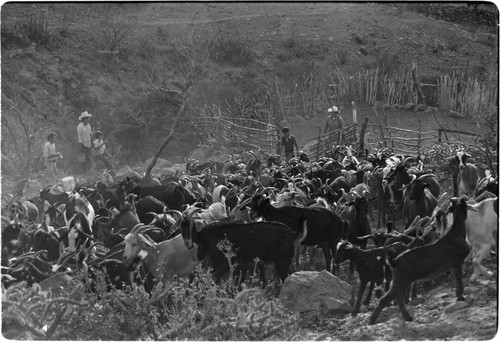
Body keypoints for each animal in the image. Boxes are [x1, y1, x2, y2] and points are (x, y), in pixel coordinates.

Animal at [370, 196, 470, 324]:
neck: (456, 233)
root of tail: (395, 261)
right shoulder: (457, 263)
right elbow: (459, 281)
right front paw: (461, 297)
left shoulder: (453, 267)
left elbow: (457, 282)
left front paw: (458, 296)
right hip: (401, 281)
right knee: (385, 299)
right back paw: (372, 320)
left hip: (403, 282)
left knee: (399, 299)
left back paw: (407, 317)